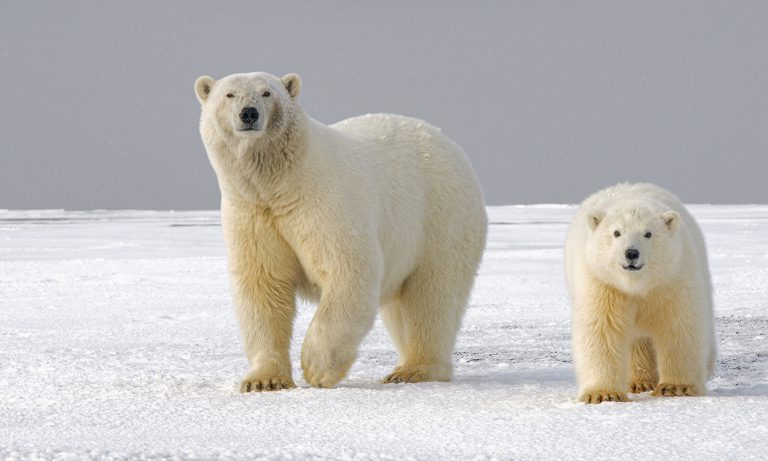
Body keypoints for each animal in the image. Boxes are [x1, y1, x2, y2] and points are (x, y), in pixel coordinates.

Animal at [195, 71, 488, 392]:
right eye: (229, 95)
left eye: (266, 93)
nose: (249, 113)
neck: (281, 184)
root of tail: (448, 143)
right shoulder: (252, 213)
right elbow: (263, 286)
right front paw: (264, 380)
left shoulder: (324, 202)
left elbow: (349, 269)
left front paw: (316, 368)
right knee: (401, 307)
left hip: (439, 217)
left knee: (432, 295)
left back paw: (415, 370)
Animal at [564, 183, 712, 402]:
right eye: (616, 232)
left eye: (648, 233)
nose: (631, 253)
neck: (637, 285)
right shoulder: (602, 283)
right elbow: (602, 329)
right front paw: (603, 394)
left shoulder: (672, 278)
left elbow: (679, 325)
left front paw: (676, 387)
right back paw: (639, 382)